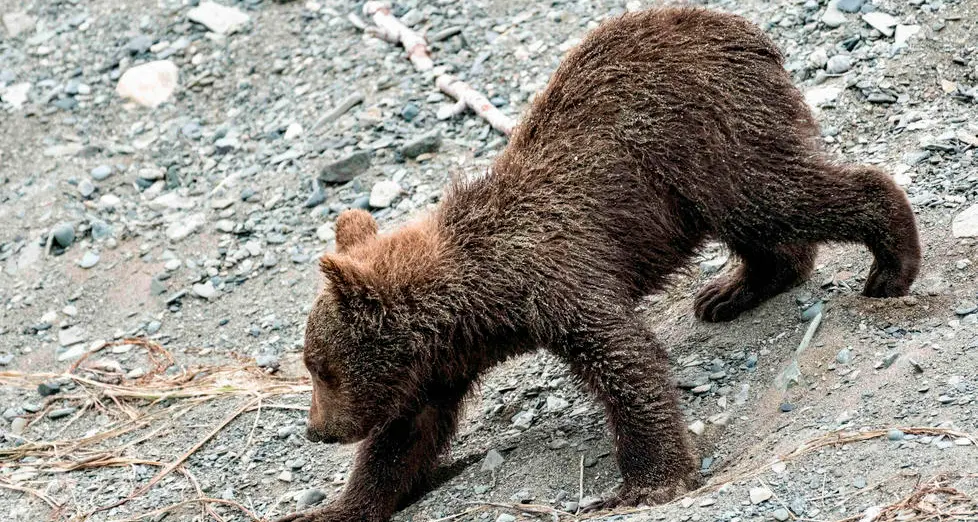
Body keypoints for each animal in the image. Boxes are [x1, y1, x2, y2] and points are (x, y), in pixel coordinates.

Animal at [275, 6, 920, 522]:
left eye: (320, 367)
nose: (317, 430)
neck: (477, 304)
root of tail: (741, 29)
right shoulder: (440, 364)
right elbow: (403, 436)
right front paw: (334, 507)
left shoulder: (553, 279)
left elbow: (624, 360)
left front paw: (648, 482)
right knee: (764, 224)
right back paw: (729, 291)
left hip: (711, 133)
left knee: (777, 197)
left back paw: (891, 261)